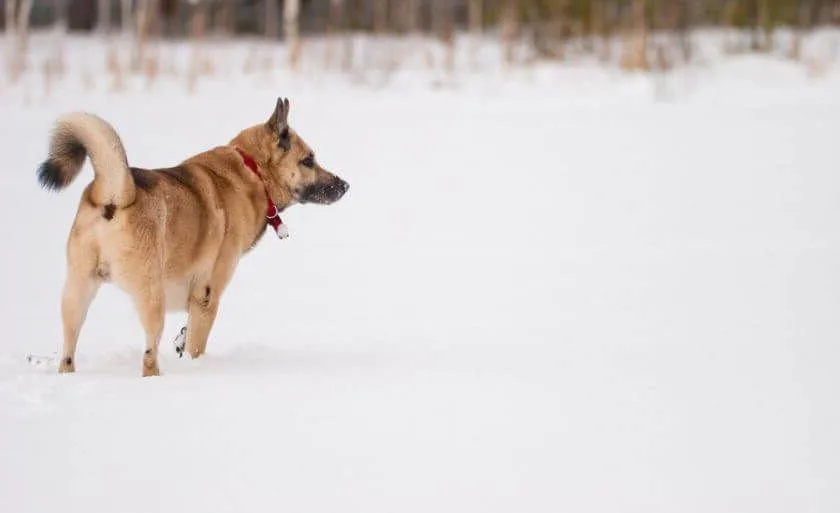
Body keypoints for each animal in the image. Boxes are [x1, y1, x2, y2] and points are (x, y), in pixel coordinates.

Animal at [36, 96, 350, 376]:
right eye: (308, 160)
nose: (345, 185)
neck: (253, 171)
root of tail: (114, 194)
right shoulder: (206, 298)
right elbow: (196, 346)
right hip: (153, 298)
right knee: (148, 357)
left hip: (77, 293)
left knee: (67, 353)